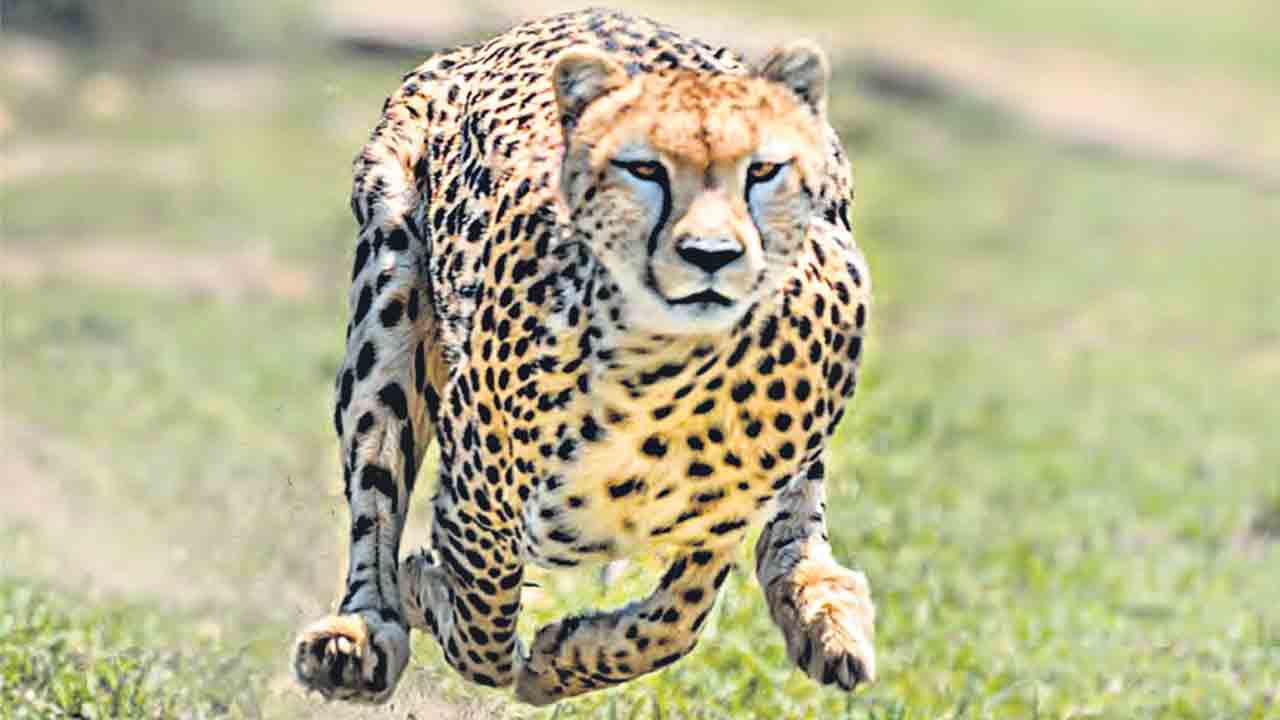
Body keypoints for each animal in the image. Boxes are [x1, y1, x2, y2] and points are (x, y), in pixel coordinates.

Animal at [293, 7, 875, 707]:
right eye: (645, 170)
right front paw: (428, 594)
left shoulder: (723, 517)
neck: (667, 374)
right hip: (389, 291)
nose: (711, 255)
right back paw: (358, 634)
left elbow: (676, 620)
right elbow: (482, 624)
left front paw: (563, 658)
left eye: (761, 172)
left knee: (797, 515)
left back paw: (825, 612)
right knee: (375, 485)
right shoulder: (478, 490)